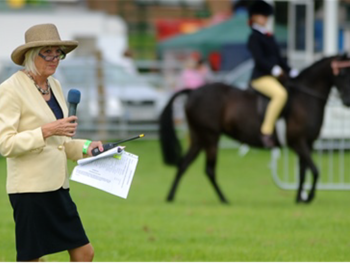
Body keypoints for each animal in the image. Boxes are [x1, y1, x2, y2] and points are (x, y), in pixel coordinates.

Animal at [159, 54, 350, 204]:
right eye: (342, 72)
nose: (347, 101)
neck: (305, 98)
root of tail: (193, 91)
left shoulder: (307, 144)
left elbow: (304, 171)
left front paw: (299, 199)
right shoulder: (299, 142)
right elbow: (315, 170)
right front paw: (308, 198)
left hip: (198, 138)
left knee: (183, 165)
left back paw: (171, 197)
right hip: (210, 137)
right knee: (209, 170)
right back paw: (224, 199)